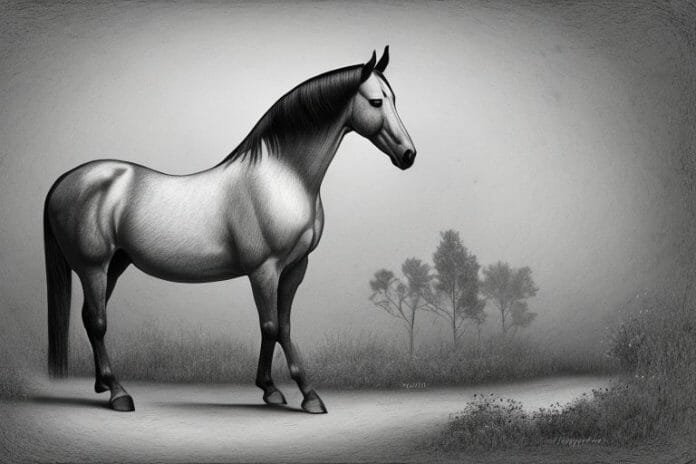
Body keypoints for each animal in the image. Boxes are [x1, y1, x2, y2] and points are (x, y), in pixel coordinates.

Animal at [44, 46, 416, 413]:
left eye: (394, 98)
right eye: (376, 102)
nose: (408, 154)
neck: (281, 177)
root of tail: (67, 180)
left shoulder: (295, 267)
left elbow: (283, 327)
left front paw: (277, 390)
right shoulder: (264, 269)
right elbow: (272, 326)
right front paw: (303, 394)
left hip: (115, 266)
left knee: (89, 317)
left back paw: (102, 385)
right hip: (92, 267)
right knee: (97, 322)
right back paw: (119, 393)